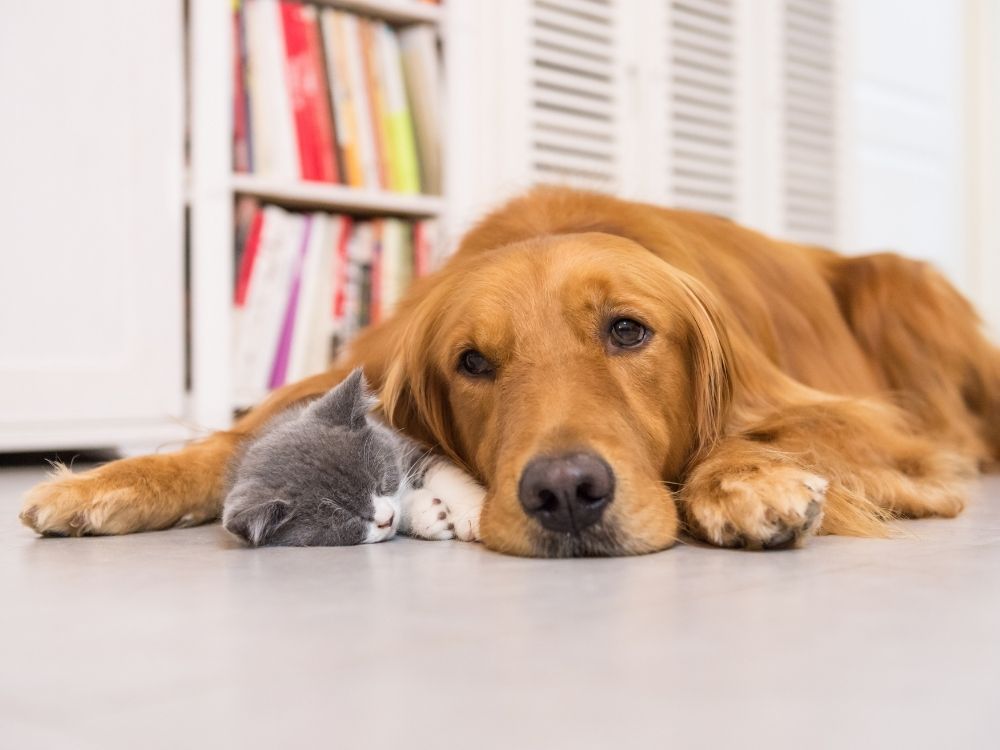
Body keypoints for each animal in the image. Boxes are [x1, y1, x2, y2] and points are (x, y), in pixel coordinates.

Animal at [17, 188, 1000, 560]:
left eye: (628, 331)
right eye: (473, 362)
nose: (566, 494)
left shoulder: (878, 427)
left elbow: (769, 429)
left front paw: (746, 479)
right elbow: (238, 439)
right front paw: (105, 482)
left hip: (902, 286)